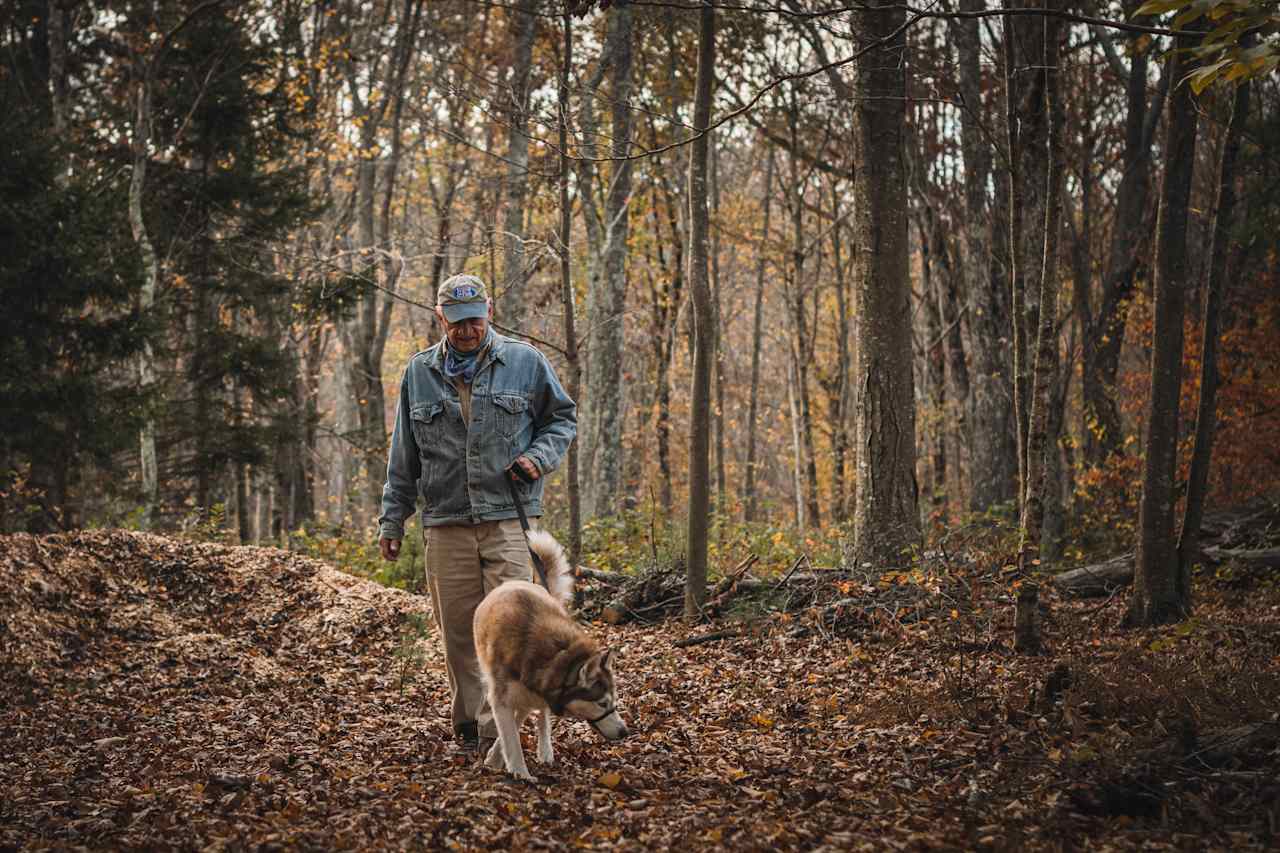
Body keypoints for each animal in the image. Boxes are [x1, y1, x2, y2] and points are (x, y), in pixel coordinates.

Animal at [473, 527, 627, 778]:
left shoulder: (529, 695)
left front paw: (499, 759)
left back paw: (545, 750)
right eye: (602, 704)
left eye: (613, 701)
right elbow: (511, 737)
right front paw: (520, 772)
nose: (625, 732)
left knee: (542, 717)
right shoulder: (503, 698)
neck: (557, 655)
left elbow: (515, 727)